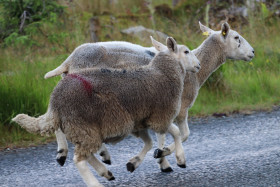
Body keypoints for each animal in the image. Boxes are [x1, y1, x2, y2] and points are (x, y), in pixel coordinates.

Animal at [13, 37, 201, 187]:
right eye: (186, 51)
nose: (198, 65)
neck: (161, 72)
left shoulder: (140, 121)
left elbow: (151, 142)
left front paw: (139, 161)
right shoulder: (160, 115)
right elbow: (177, 133)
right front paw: (178, 158)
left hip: (83, 127)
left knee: (84, 151)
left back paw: (102, 169)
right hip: (85, 126)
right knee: (80, 158)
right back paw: (94, 180)